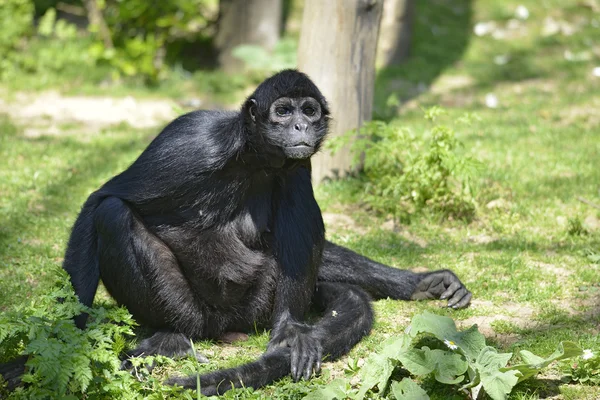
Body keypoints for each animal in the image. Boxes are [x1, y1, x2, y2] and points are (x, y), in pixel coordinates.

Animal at [2, 70, 476, 396]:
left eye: (309, 111)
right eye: (283, 112)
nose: (301, 128)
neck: (249, 155)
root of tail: (225, 324)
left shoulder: (296, 161)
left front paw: (419, 282)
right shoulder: (191, 143)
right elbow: (99, 200)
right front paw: (64, 343)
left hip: (258, 301)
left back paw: (287, 329)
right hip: (188, 309)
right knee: (113, 214)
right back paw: (170, 338)